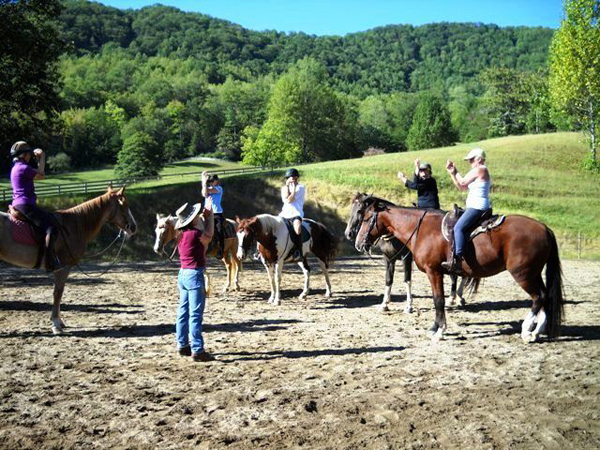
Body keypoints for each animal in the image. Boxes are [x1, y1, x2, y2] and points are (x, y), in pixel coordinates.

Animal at [0, 187, 137, 334]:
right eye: (124, 205)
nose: (133, 227)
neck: (73, 226)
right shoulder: (63, 267)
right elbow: (58, 293)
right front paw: (56, 324)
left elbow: (59, 292)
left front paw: (59, 321)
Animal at [344, 193, 480, 312]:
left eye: (360, 211)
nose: (348, 234)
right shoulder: (389, 259)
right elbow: (388, 280)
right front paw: (384, 304)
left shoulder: (406, 258)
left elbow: (407, 279)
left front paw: (409, 306)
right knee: (456, 275)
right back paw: (455, 297)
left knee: (459, 275)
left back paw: (456, 298)